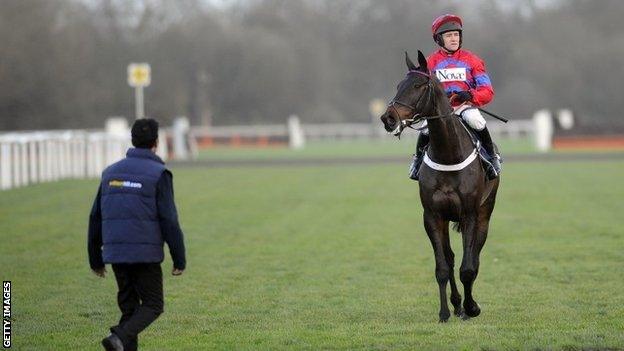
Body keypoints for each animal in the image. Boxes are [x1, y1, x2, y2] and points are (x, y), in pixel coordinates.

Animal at [378, 51, 500, 324]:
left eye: (418, 85)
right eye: (398, 85)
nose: (388, 118)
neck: (449, 155)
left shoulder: (469, 213)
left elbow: (468, 267)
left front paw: (471, 308)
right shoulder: (433, 215)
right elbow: (443, 267)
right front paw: (446, 311)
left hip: (485, 211)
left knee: (475, 254)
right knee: (452, 257)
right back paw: (456, 304)